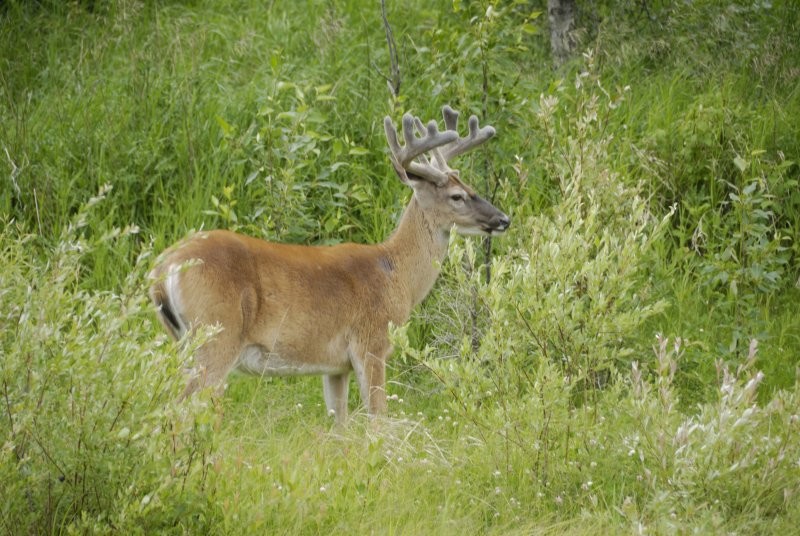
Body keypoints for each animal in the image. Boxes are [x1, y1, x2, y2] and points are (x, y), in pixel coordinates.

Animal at [149, 104, 510, 422]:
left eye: (470, 186)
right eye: (456, 197)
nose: (503, 219)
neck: (398, 275)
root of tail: (163, 269)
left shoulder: (335, 367)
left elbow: (341, 427)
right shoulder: (371, 344)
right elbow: (378, 421)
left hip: (181, 340)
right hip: (216, 336)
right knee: (179, 409)